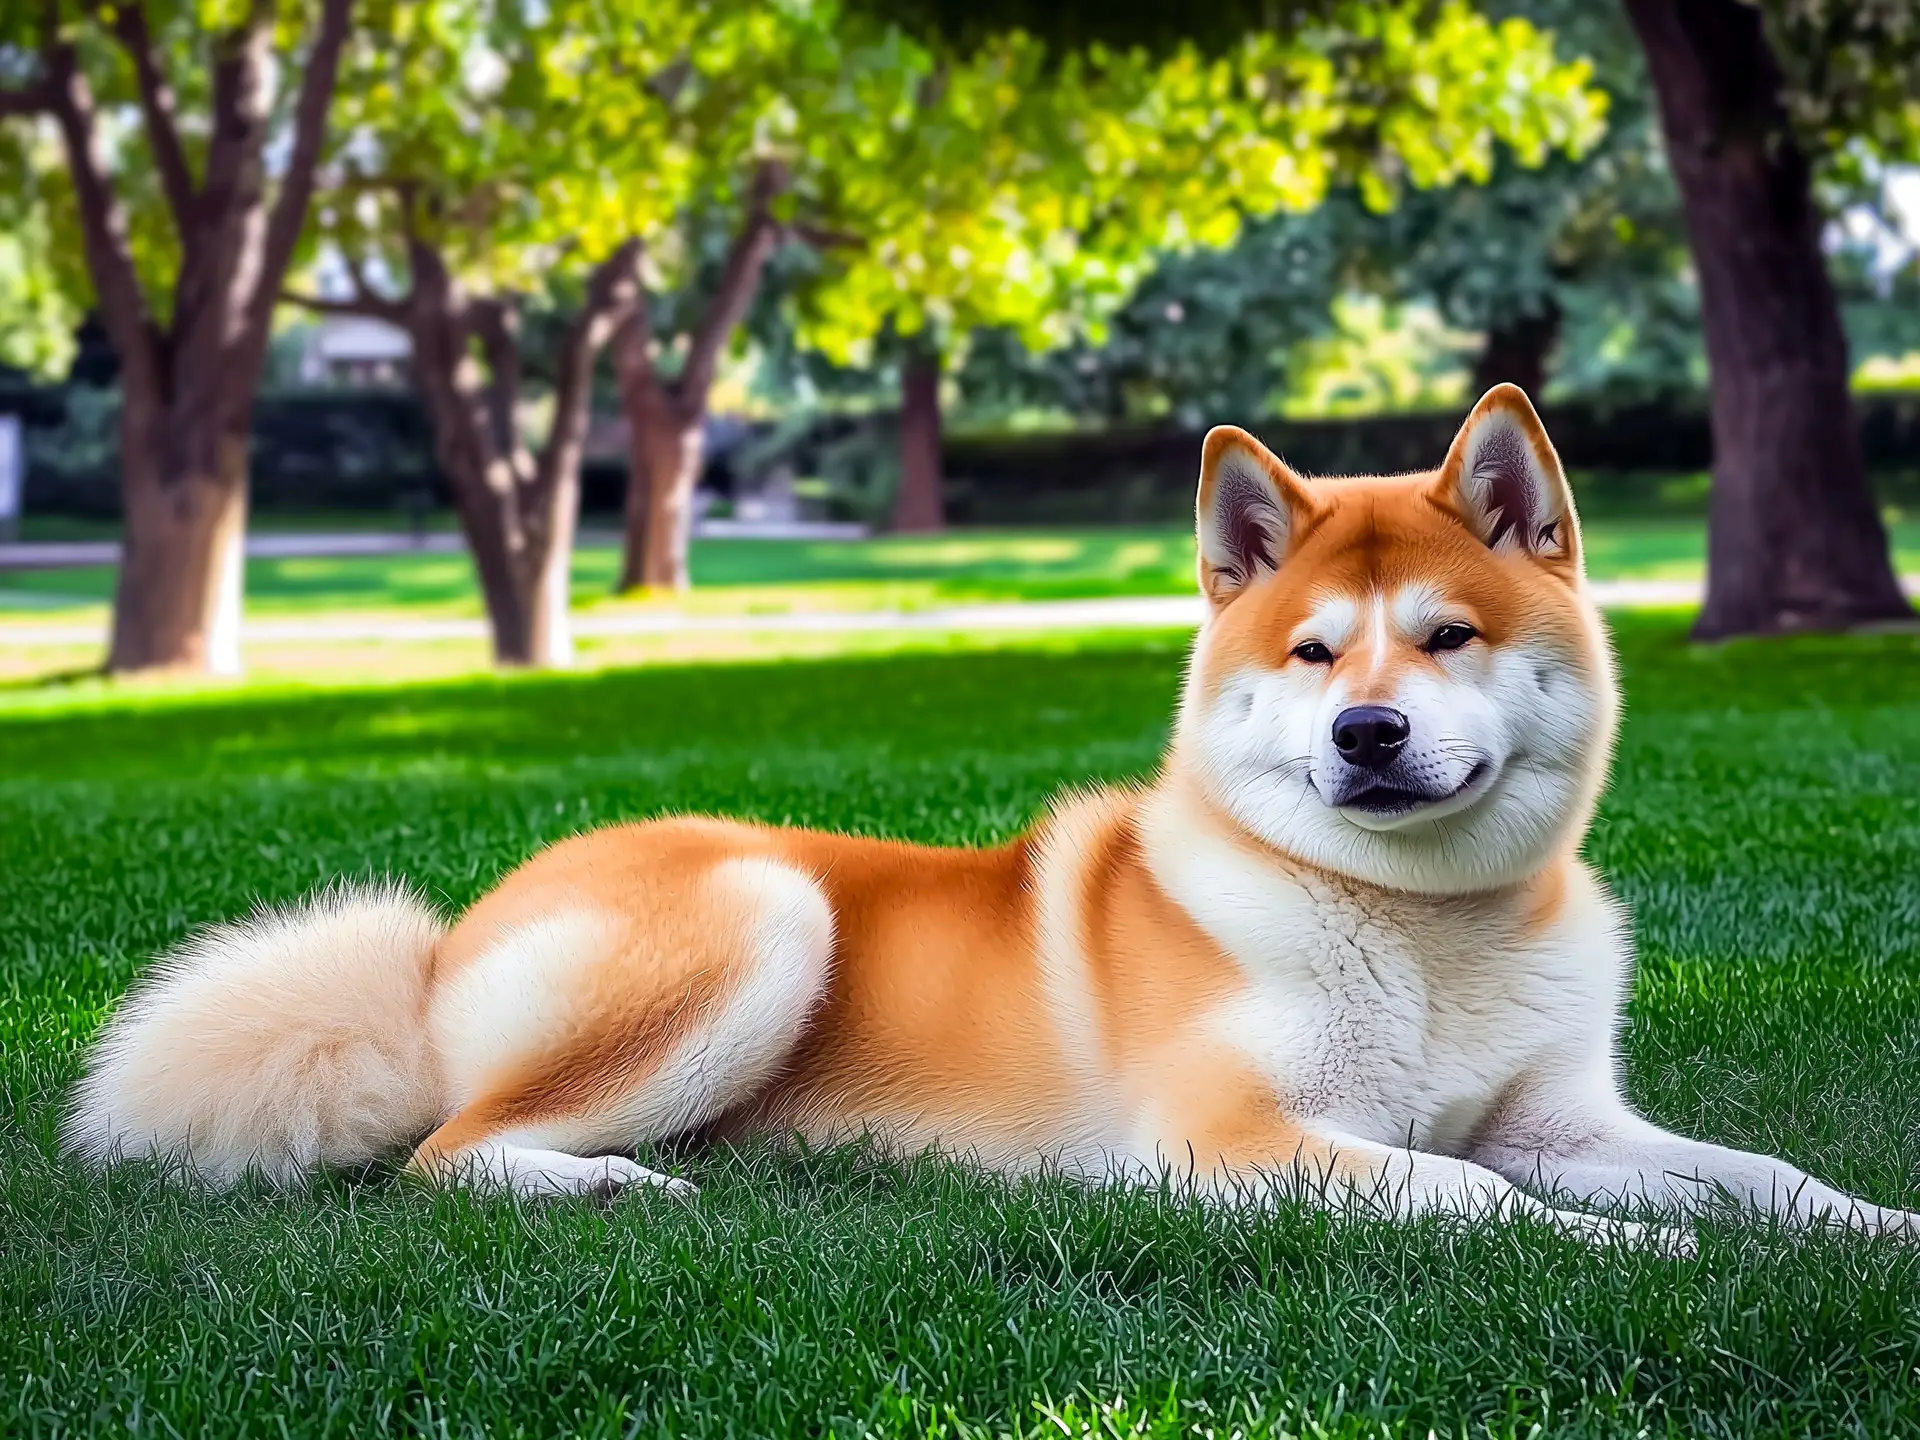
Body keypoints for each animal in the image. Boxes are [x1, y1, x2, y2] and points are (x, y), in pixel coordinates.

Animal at [67, 389, 1912, 1244]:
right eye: (1314, 651)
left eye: (1448, 637)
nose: (1370, 731)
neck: (1418, 928)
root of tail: (445, 945)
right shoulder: (1221, 1140)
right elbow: (1484, 1205)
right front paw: (1635, 1261)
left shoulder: (1564, 1120)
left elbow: (1756, 1174)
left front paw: (1864, 1231)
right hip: (768, 916)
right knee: (442, 1157)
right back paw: (616, 1195)